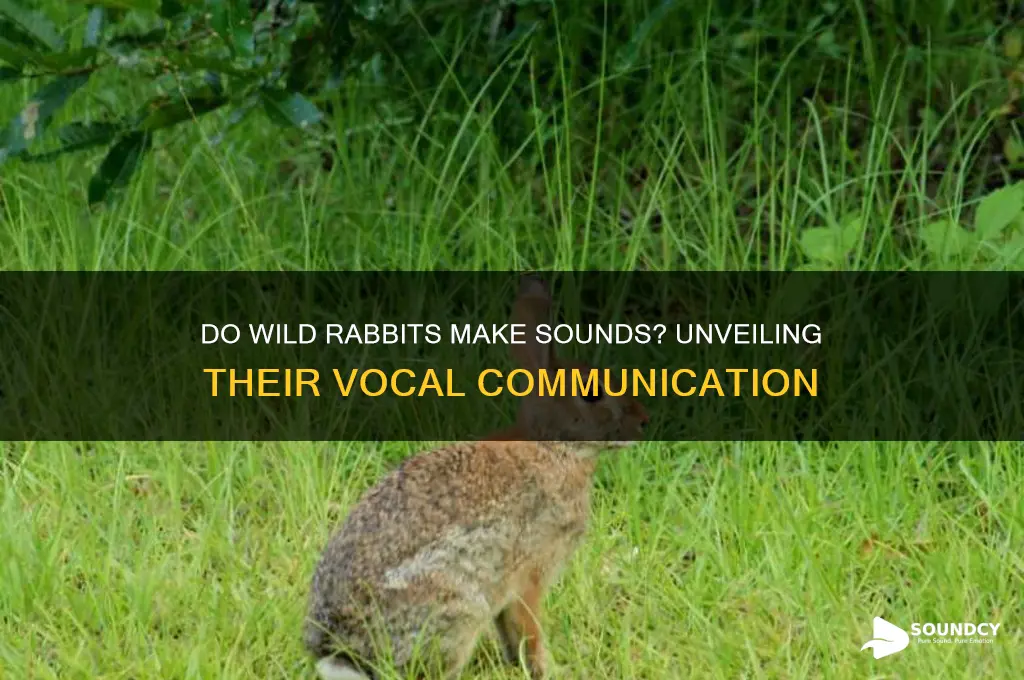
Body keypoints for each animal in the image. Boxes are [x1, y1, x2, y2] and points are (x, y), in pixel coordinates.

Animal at [305, 275, 649, 680]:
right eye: (592, 394)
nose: (643, 421)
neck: (553, 447)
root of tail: (343, 654)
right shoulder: (529, 573)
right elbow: (528, 630)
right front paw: (549, 669)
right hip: (457, 609)